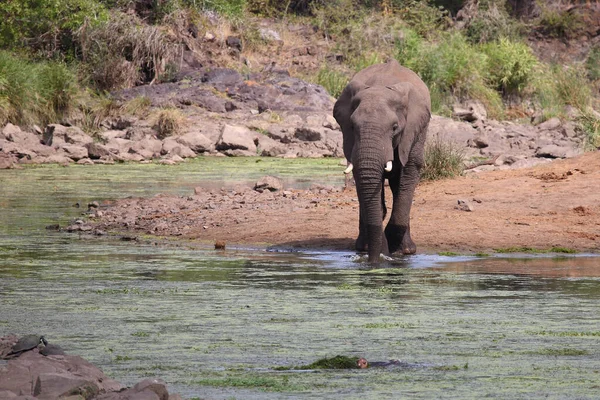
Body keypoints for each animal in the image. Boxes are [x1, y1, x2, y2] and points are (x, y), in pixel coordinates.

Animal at [332, 59, 432, 262]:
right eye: (352, 126)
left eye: (394, 127)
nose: (373, 260)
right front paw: (382, 250)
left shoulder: (413, 131)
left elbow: (409, 173)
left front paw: (397, 251)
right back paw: (363, 247)